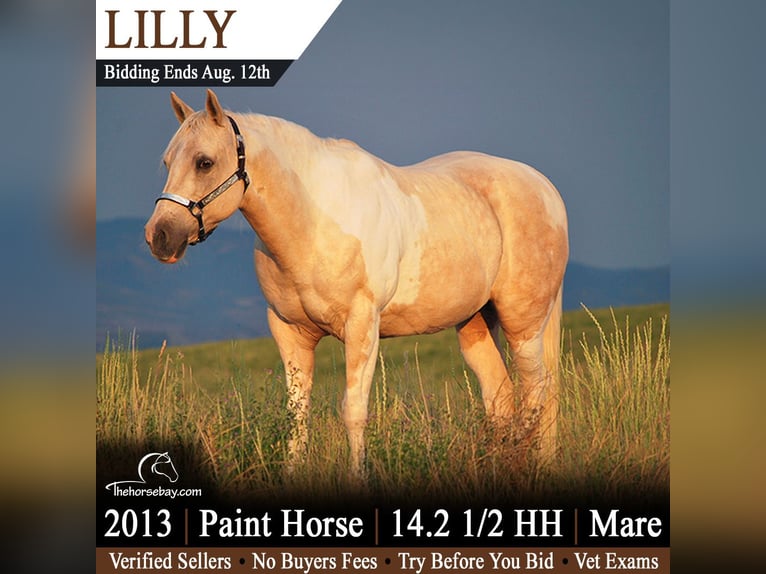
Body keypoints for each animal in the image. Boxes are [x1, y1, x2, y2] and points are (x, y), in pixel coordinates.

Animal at [145, 89, 568, 478]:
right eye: (166, 161)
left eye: (204, 162)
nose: (159, 236)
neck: (314, 220)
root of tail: (544, 187)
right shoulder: (289, 331)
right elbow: (297, 415)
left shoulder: (362, 325)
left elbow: (353, 412)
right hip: (476, 324)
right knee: (501, 400)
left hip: (523, 324)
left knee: (539, 392)